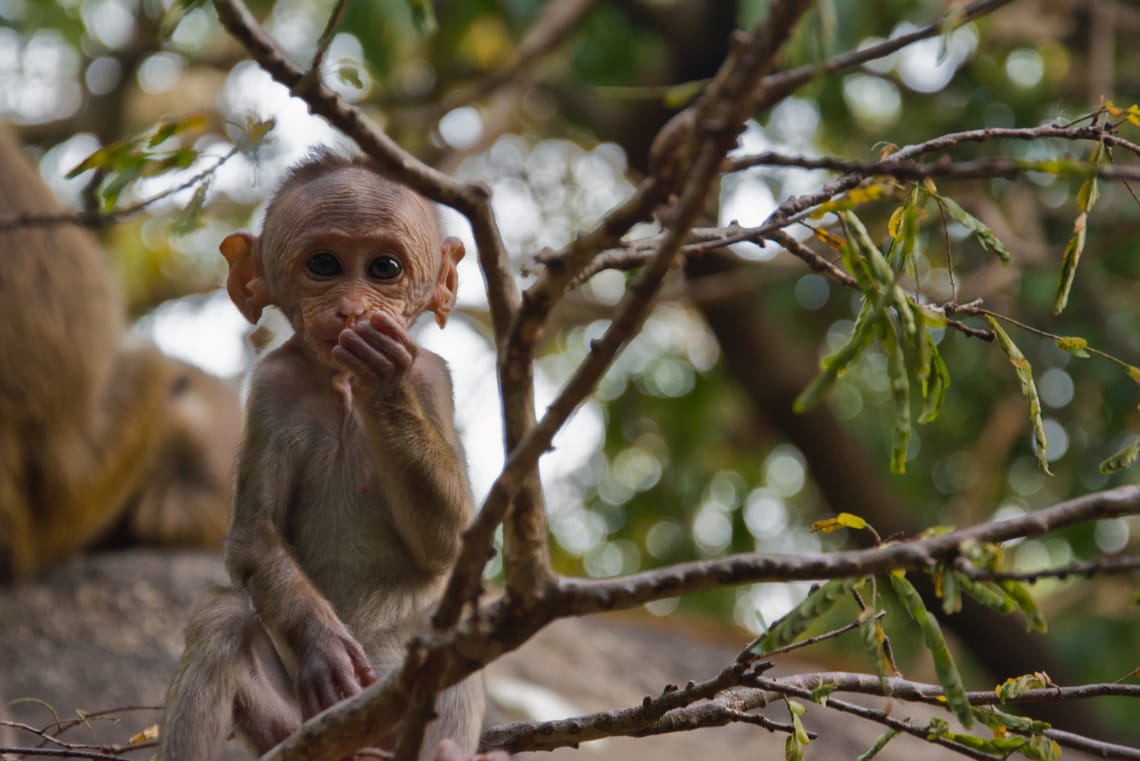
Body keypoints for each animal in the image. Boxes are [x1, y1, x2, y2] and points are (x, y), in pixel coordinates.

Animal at [159, 151, 485, 761]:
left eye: (384, 268)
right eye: (324, 265)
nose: (353, 308)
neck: (341, 389)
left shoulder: (432, 380)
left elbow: (448, 541)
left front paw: (384, 378)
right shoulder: (272, 385)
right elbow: (253, 535)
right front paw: (324, 646)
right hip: (294, 724)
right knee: (222, 619)